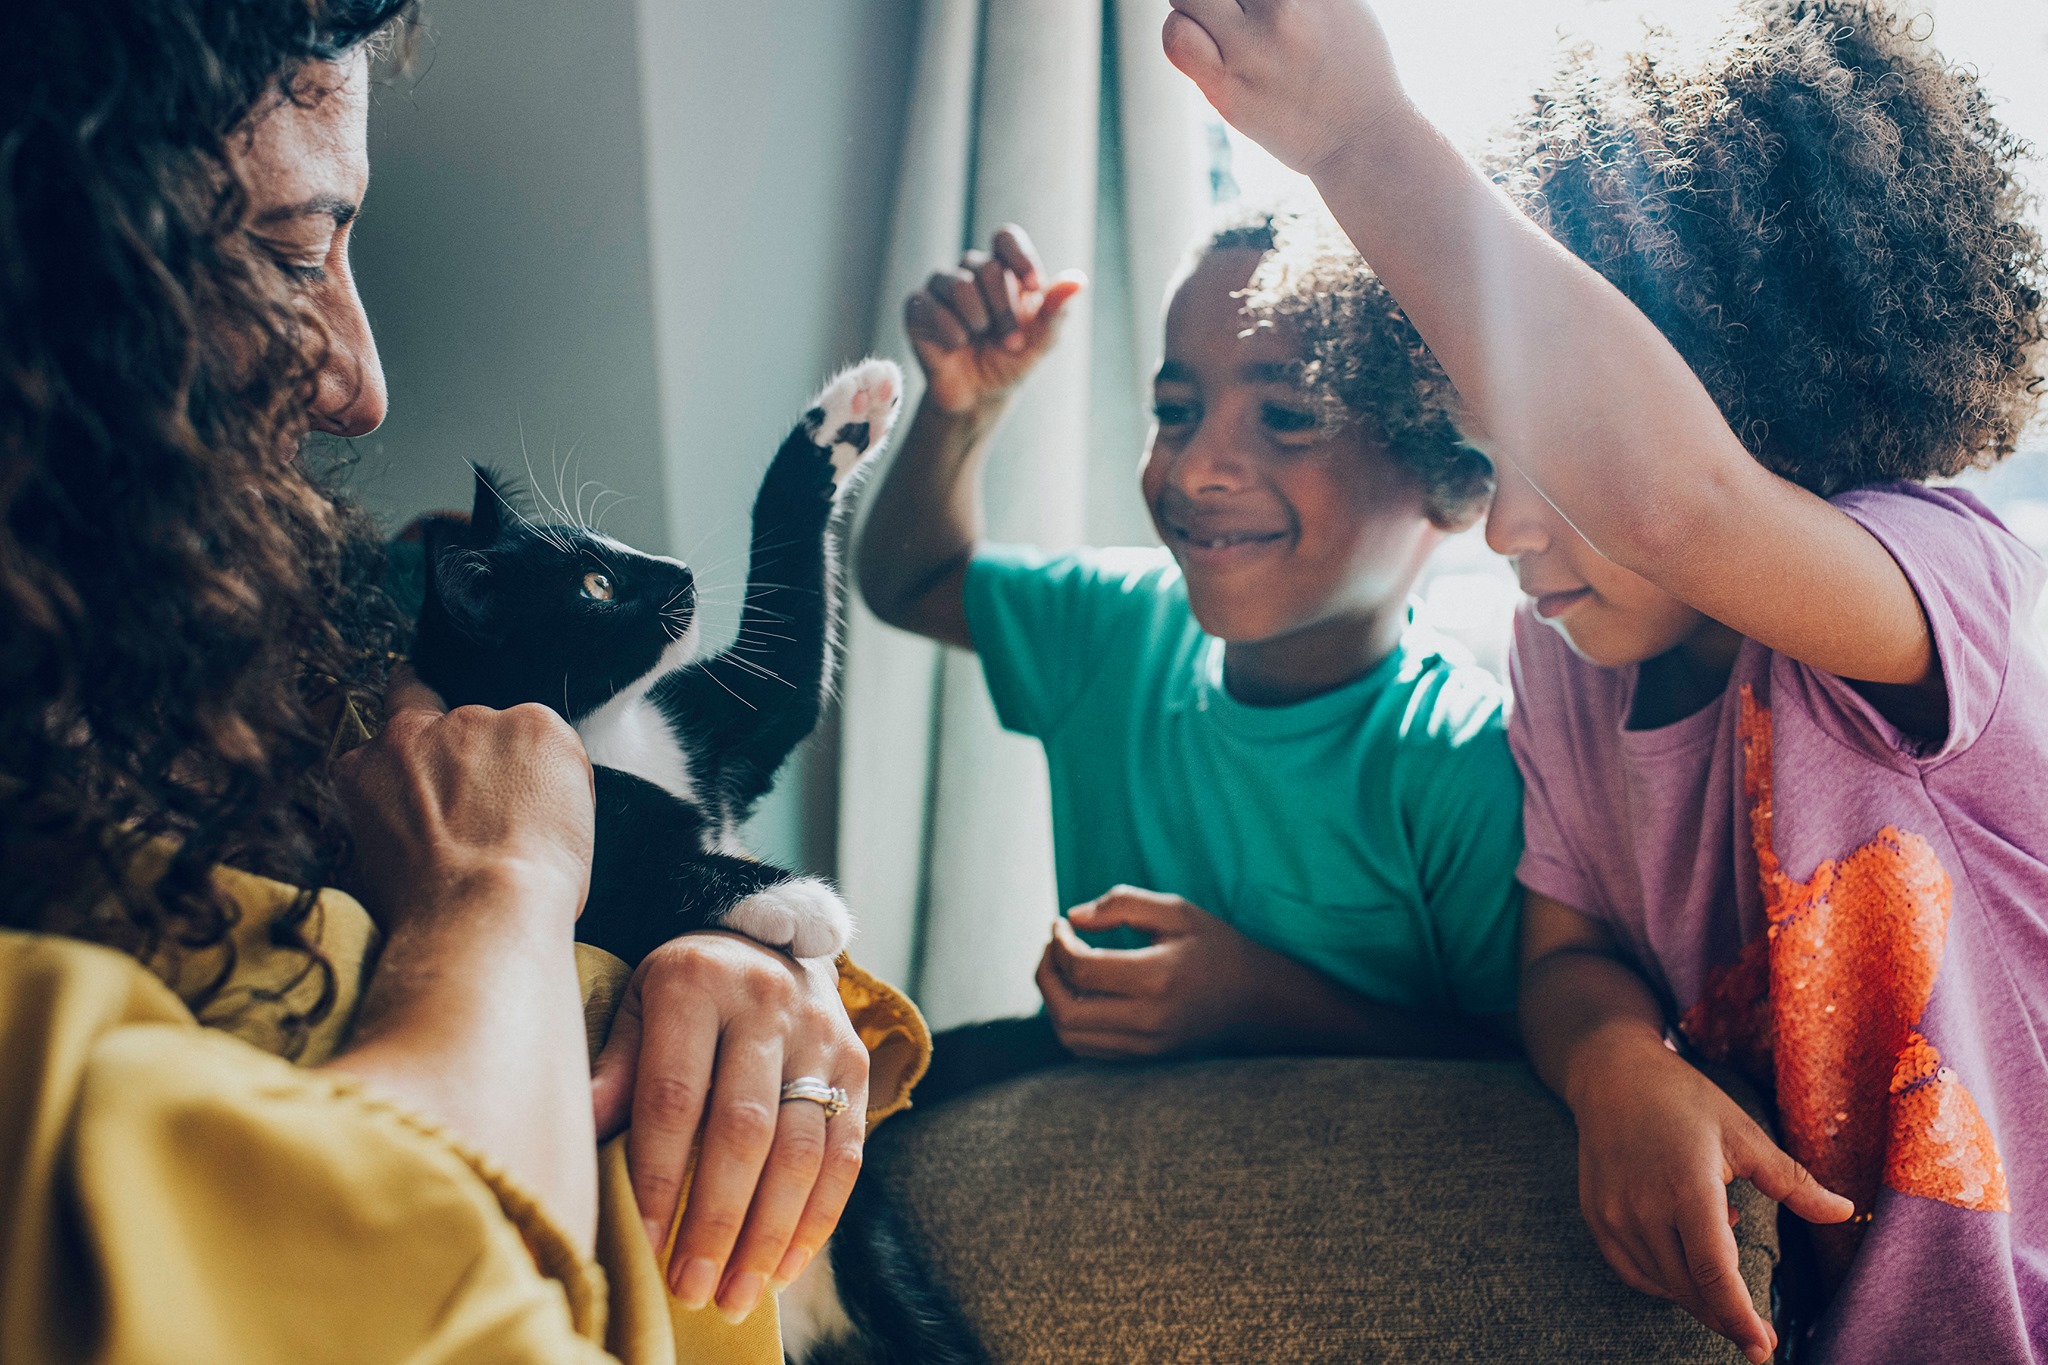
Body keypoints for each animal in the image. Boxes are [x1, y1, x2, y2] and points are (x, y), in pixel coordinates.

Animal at [411, 358, 901, 965]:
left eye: (610, 542)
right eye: (597, 585)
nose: (681, 570)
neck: (617, 727)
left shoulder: (701, 724)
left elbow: (788, 646)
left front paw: (848, 415)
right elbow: (634, 888)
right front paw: (795, 899)